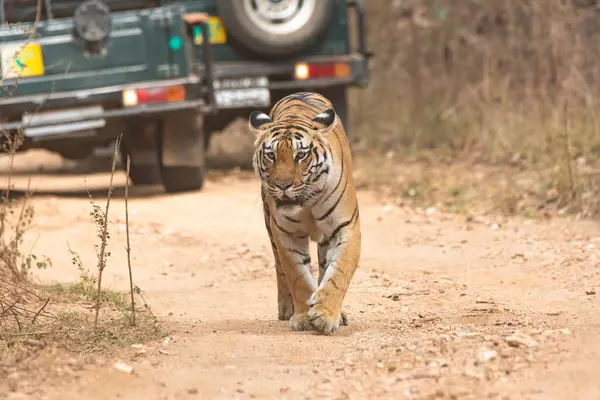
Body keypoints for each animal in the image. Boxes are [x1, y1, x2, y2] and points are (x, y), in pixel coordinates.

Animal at [248, 91, 360, 334]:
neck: (307, 201)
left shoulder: (346, 227)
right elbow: (297, 275)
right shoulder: (284, 233)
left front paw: (325, 315)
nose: (282, 185)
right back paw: (286, 309)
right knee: (280, 270)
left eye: (300, 155)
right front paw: (302, 317)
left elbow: (339, 272)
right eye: (271, 155)